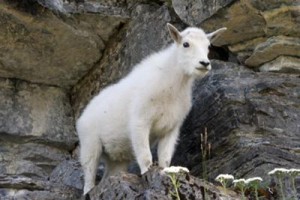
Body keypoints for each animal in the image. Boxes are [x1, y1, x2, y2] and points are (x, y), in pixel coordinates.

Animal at [76, 23, 226, 194]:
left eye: (208, 46)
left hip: (116, 159)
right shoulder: (140, 122)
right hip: (90, 144)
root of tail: (82, 116)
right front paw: (147, 174)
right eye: (186, 44)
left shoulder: (171, 129)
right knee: (89, 177)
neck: (173, 84)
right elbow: (145, 156)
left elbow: (165, 159)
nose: (204, 63)